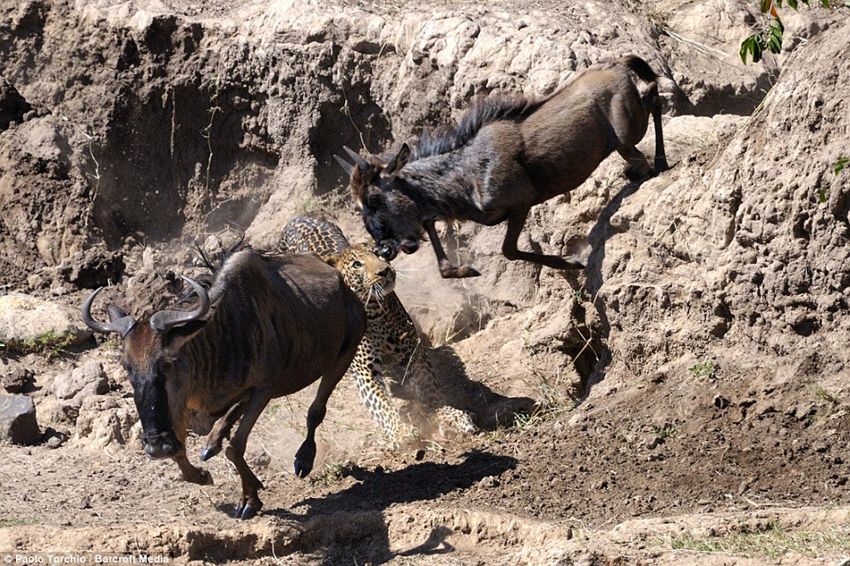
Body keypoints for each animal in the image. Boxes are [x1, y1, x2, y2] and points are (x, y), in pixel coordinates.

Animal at [278, 215, 476, 446]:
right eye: (357, 265)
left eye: (378, 253)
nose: (385, 271)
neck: (375, 312)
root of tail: (297, 218)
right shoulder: (366, 370)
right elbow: (382, 404)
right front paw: (401, 432)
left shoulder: (412, 352)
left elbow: (430, 389)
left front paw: (448, 414)